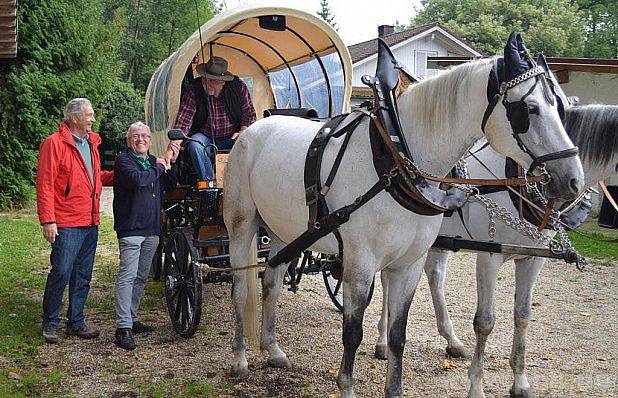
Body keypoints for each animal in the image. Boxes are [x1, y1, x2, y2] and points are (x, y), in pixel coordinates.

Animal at [223, 35, 584, 398]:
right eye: (530, 109)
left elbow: (399, 335)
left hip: (285, 231)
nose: (573, 181)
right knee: (240, 288)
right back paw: (239, 360)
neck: (395, 162)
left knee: (271, 280)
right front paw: (347, 386)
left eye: (560, 107)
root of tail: (256, 127)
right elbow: (352, 334)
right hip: (242, 225)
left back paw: (272, 349)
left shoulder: (408, 264)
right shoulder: (359, 264)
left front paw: (393, 383)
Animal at [372, 104, 612, 396]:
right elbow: (485, 321)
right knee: (388, 280)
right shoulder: (489, 256)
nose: (571, 182)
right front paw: (476, 386)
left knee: (434, 277)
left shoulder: (533, 260)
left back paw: (452, 340)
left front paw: (520, 382)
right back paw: (383, 343)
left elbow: (523, 316)